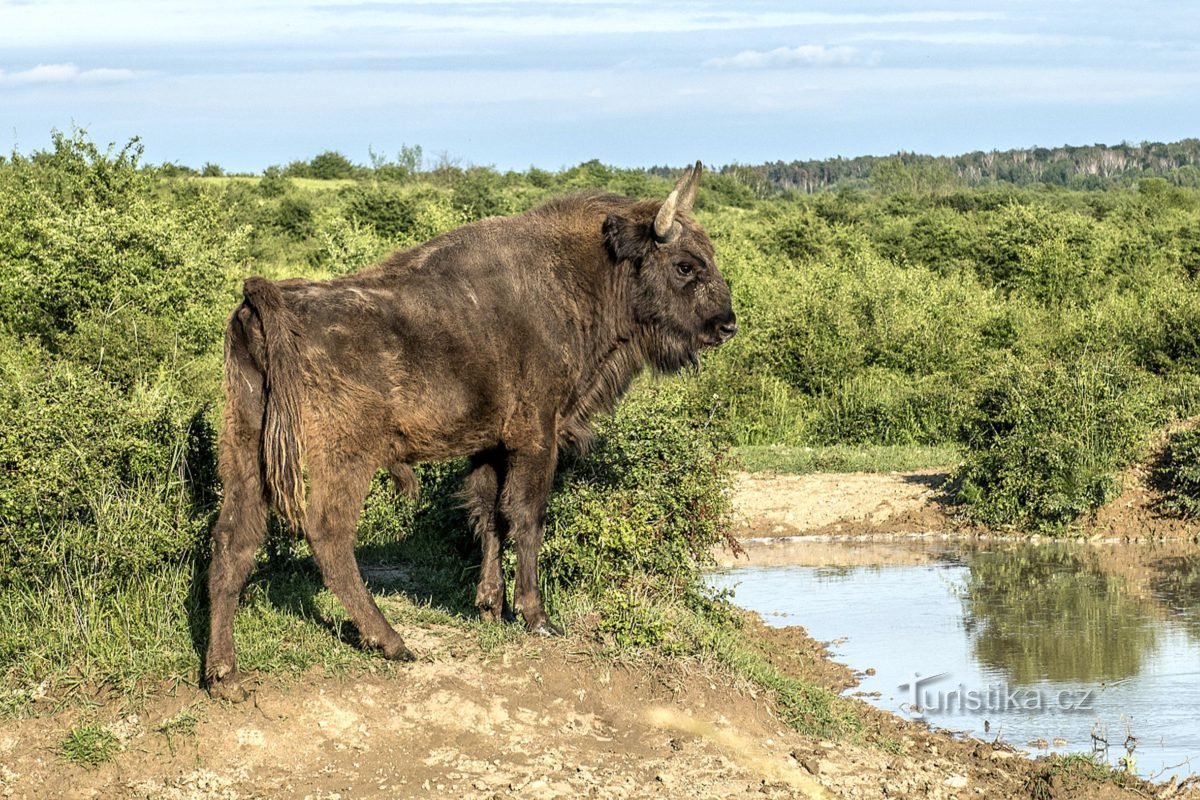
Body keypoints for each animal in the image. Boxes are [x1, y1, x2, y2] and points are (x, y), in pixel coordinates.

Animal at [201, 163, 734, 700]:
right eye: (685, 266)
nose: (726, 325)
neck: (574, 277)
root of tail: (267, 300)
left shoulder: (490, 446)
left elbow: (489, 516)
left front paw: (489, 607)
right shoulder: (536, 438)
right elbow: (526, 516)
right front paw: (536, 617)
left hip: (246, 446)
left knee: (233, 540)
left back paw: (224, 675)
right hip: (344, 457)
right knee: (328, 535)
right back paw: (392, 642)